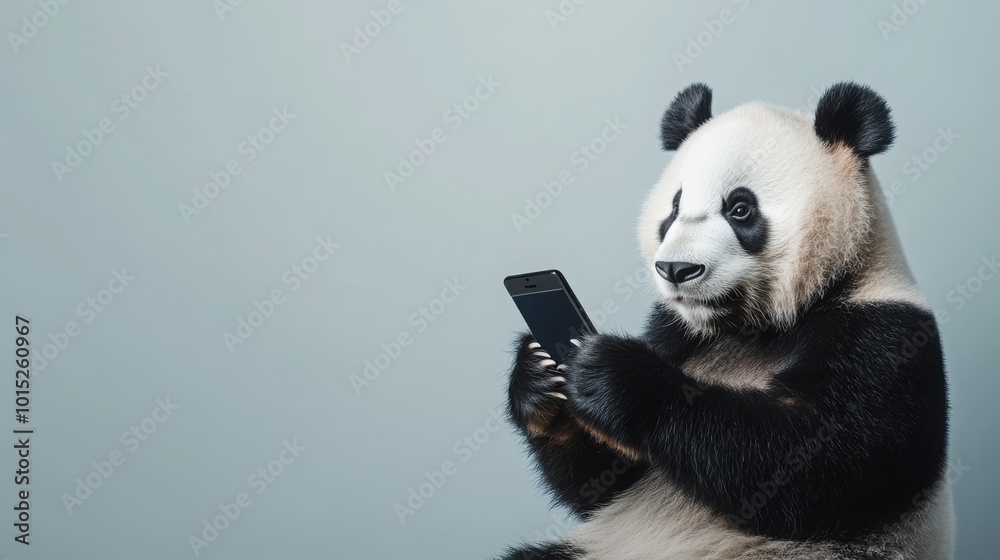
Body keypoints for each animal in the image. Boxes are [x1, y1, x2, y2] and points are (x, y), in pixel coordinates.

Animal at [500, 83, 953, 559]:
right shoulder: (673, 330)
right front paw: (537, 374)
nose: (676, 270)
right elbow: (604, 481)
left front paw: (613, 374)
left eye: (740, 208)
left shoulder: (882, 334)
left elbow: (815, 464)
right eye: (675, 208)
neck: (750, 326)